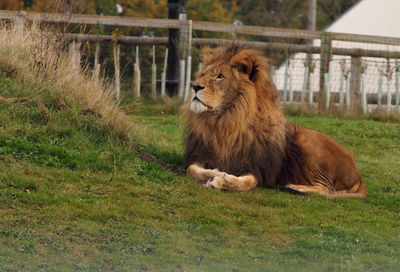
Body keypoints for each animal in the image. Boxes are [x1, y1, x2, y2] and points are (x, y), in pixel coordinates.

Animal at [183, 43, 368, 199]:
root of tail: (359, 173)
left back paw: (294, 187)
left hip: (307, 141)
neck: (226, 120)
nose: (195, 86)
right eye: (203, 74)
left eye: (220, 76)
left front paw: (222, 179)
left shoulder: (259, 168)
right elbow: (192, 170)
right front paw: (215, 172)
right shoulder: (198, 155)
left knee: (327, 189)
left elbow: (246, 183)